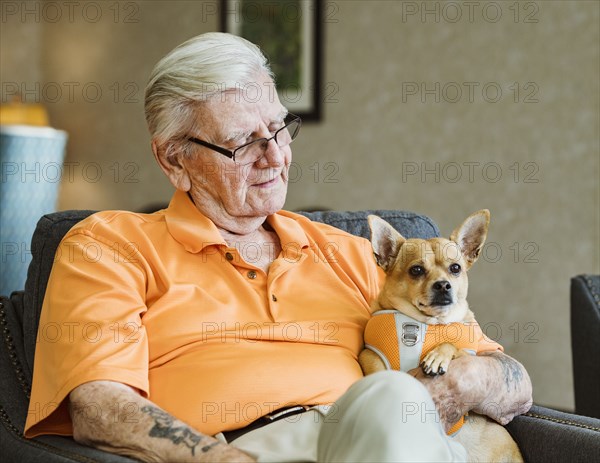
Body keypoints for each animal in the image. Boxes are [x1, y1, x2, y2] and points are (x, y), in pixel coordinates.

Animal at [358, 211, 524, 463]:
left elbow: (452, 345)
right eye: (416, 270)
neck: (428, 323)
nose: (444, 285)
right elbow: (378, 372)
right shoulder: (370, 354)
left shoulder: (469, 356)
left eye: (455, 268)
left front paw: (437, 357)